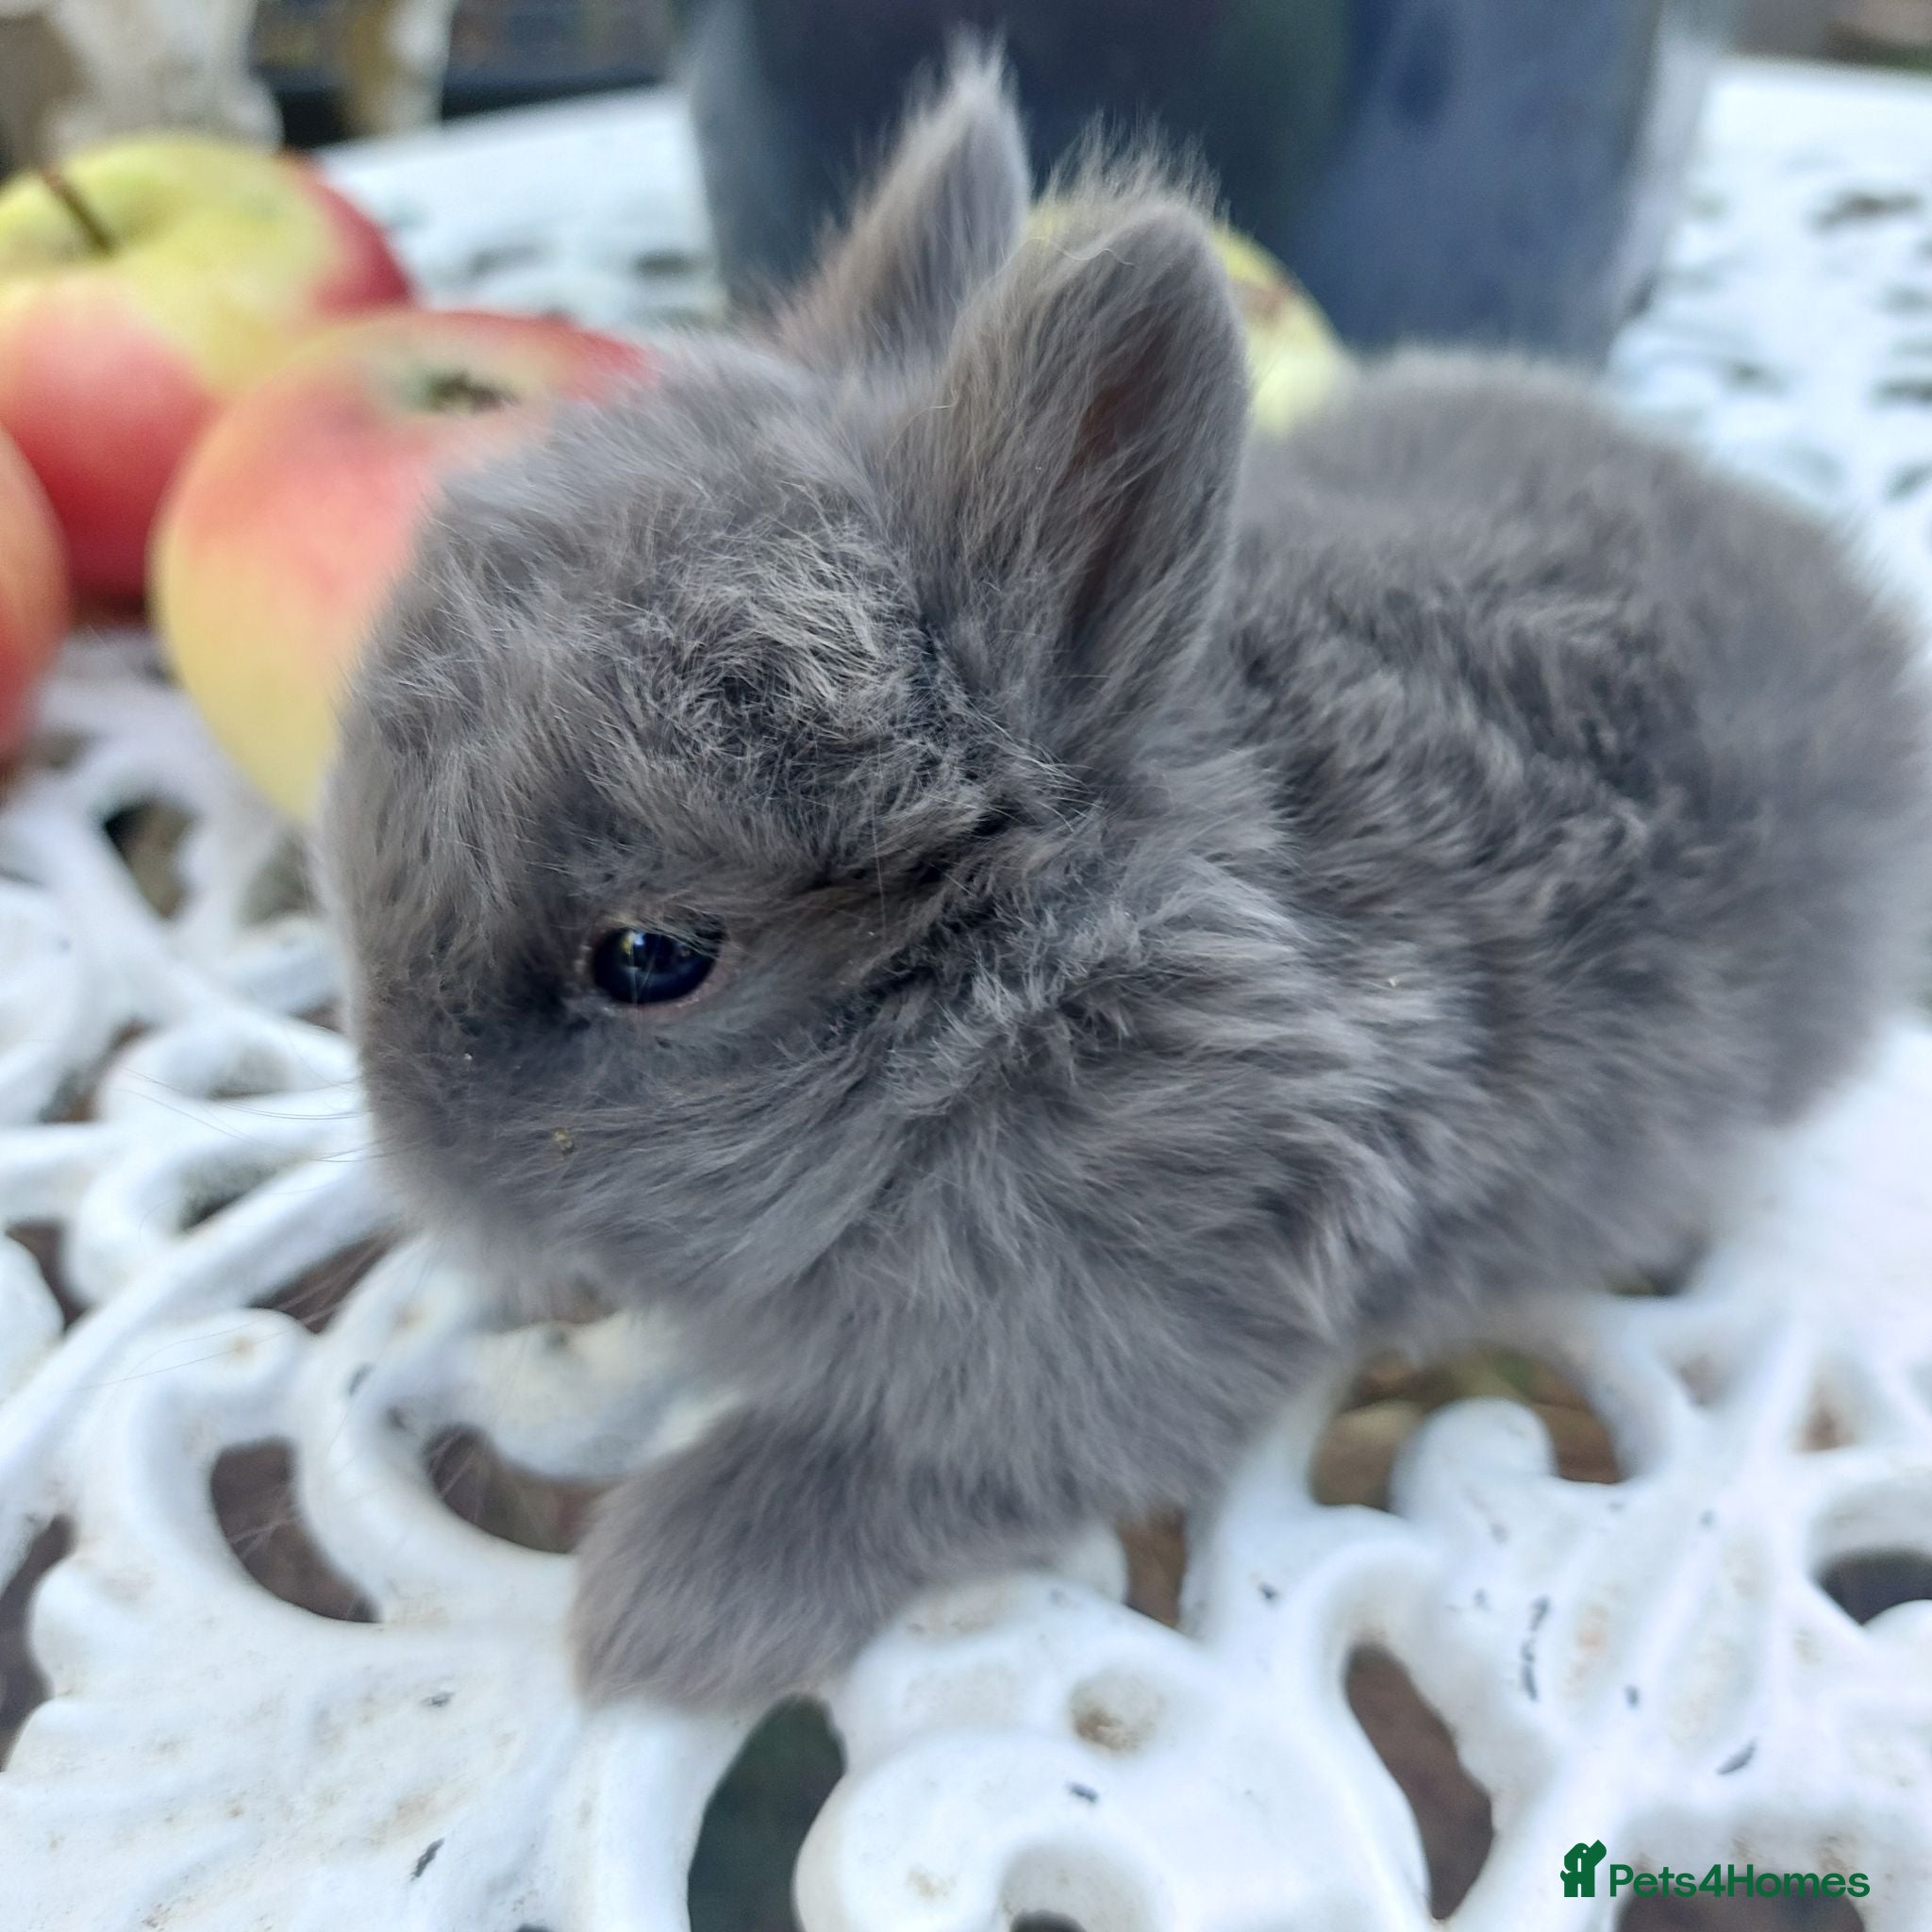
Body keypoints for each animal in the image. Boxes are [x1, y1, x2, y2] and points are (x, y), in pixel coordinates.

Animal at [317, 51, 1932, 1710]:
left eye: (653, 958)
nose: (416, 1153)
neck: (1025, 1015)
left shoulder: (1111, 1350)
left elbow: (903, 1466)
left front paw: (662, 1608)